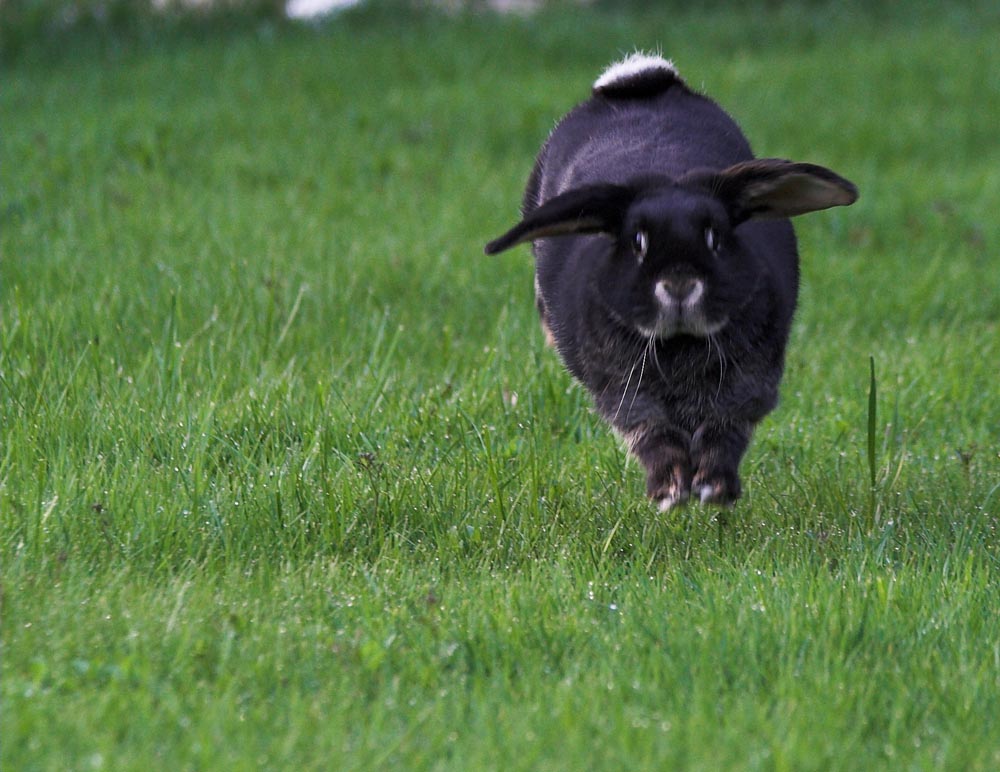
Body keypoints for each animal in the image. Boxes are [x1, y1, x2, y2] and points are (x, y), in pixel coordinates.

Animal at [486, 55, 860, 512]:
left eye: (715, 238)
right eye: (638, 243)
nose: (680, 284)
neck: (681, 343)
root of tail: (641, 81)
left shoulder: (747, 387)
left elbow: (724, 434)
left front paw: (714, 488)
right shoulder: (628, 395)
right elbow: (654, 437)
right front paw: (670, 491)